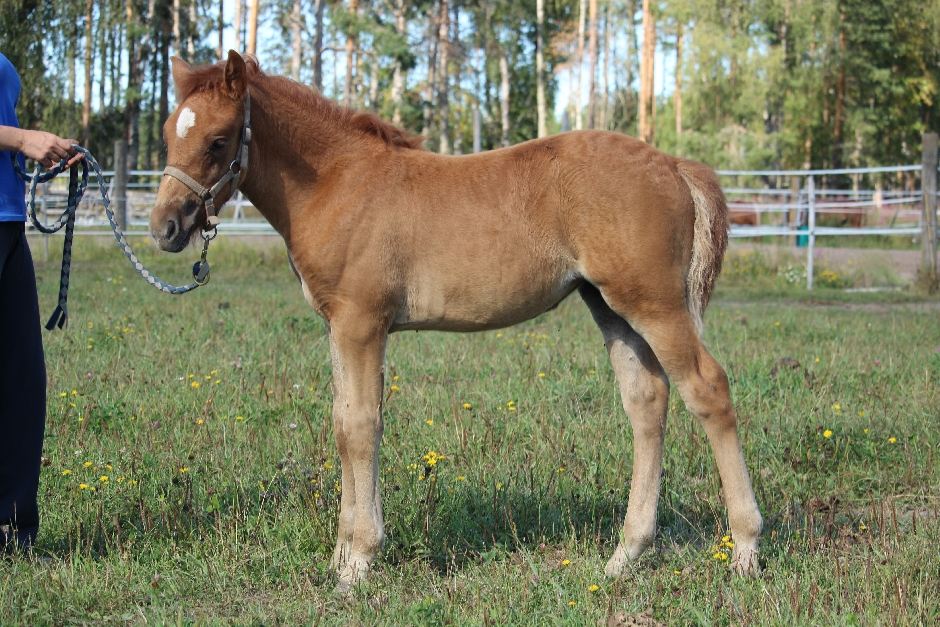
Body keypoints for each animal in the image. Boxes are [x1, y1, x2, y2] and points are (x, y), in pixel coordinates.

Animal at [149, 51, 764, 592]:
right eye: (168, 134)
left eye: (218, 140)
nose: (164, 228)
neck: (337, 183)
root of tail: (674, 164)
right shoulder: (336, 327)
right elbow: (343, 425)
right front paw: (341, 555)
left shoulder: (362, 324)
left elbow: (361, 428)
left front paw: (359, 563)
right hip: (611, 306)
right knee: (647, 402)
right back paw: (624, 556)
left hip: (655, 304)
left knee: (708, 390)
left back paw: (745, 550)